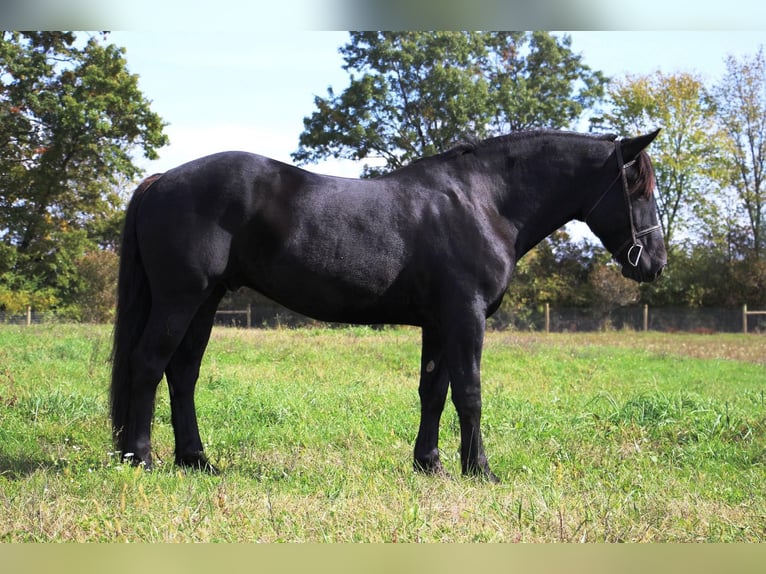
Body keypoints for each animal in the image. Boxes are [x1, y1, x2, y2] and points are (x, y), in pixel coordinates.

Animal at [111, 129, 668, 482]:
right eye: (638, 189)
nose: (656, 262)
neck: (482, 202)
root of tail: (161, 180)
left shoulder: (439, 323)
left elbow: (434, 392)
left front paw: (431, 464)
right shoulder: (465, 317)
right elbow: (469, 393)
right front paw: (481, 471)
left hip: (205, 301)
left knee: (182, 372)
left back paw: (195, 460)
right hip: (181, 298)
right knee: (148, 364)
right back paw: (142, 458)